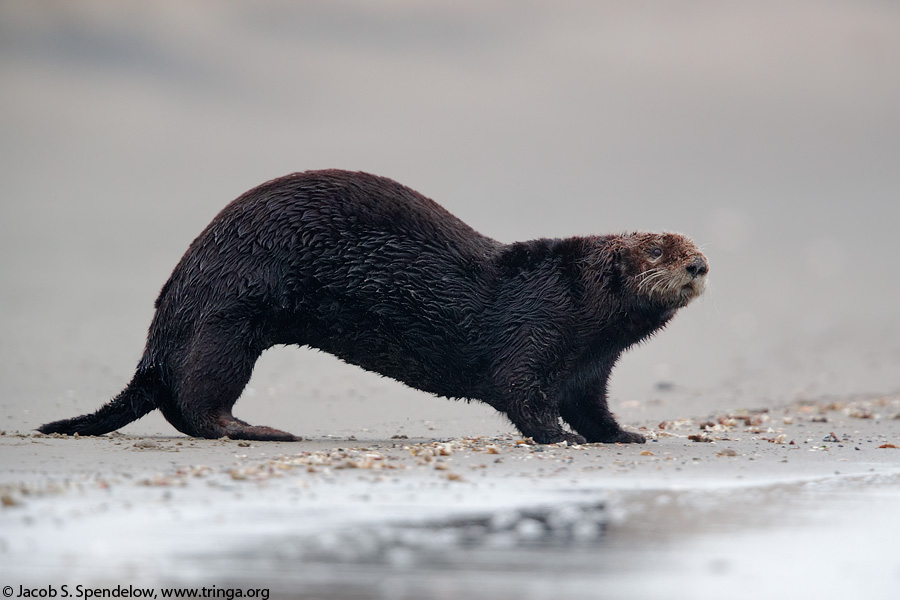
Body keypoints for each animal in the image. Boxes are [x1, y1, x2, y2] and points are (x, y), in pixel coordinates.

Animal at [38, 171, 708, 442]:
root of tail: (160, 330)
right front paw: (560, 438)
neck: (567, 297)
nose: (699, 265)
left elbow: (592, 408)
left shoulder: (589, 368)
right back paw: (262, 430)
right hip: (226, 318)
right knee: (199, 399)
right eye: (658, 249)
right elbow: (520, 394)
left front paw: (625, 436)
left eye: (696, 245)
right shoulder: (535, 335)